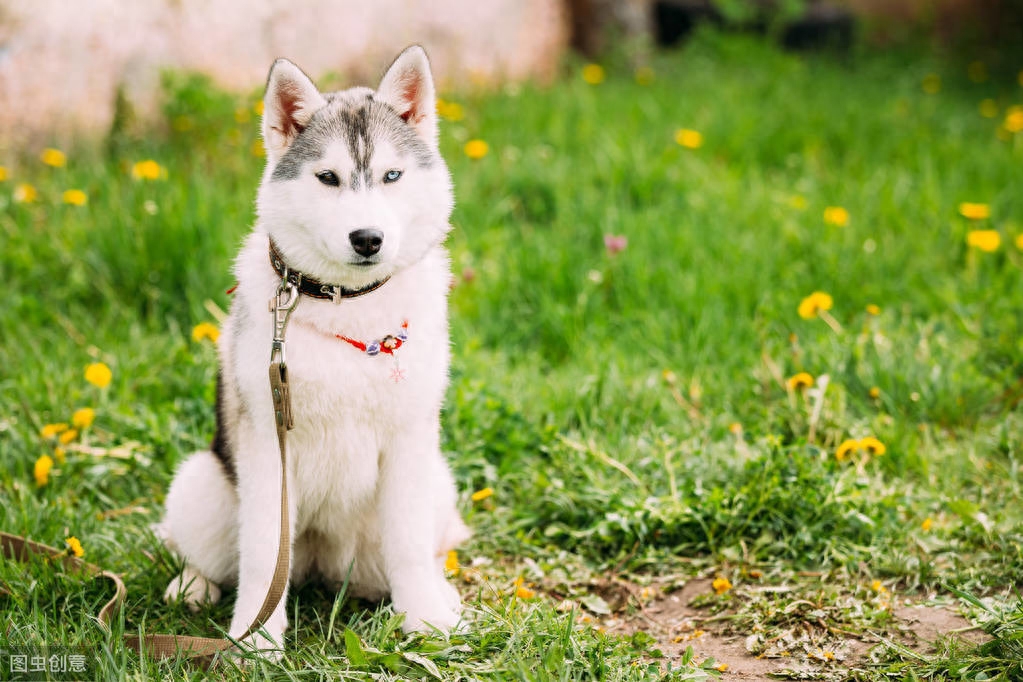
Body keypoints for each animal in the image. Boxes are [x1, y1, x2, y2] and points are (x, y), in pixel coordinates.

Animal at [157, 45, 468, 654]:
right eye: (328, 178)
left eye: (392, 175)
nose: (367, 238)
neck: (347, 306)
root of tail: (322, 565)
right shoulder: (266, 447)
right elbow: (261, 558)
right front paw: (256, 640)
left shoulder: (410, 441)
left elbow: (409, 544)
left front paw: (426, 620)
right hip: (202, 484)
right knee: (212, 556)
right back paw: (193, 585)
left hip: (436, 484)